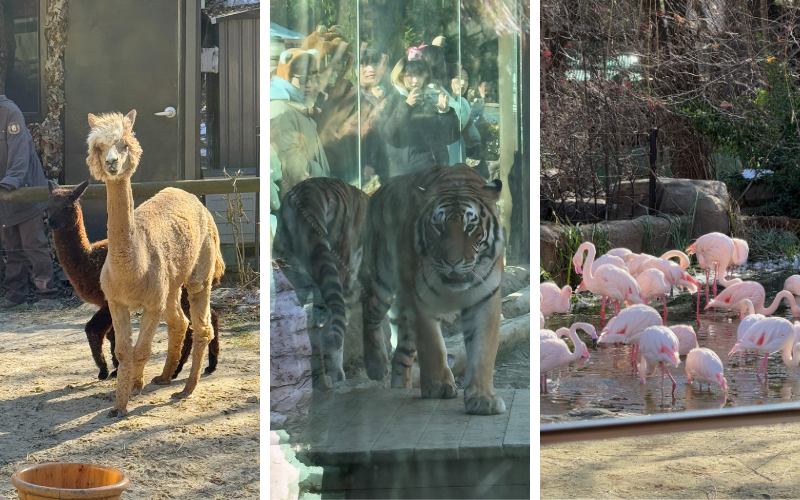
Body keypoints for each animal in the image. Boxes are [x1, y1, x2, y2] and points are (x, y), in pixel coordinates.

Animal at [360, 163, 504, 414]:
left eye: (470, 226)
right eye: (438, 227)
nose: (453, 262)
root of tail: (378, 191)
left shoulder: (485, 299)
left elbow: (483, 351)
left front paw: (484, 398)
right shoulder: (420, 301)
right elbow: (433, 345)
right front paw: (438, 386)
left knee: (402, 354)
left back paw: (400, 387)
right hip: (382, 281)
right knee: (369, 308)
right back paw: (376, 364)